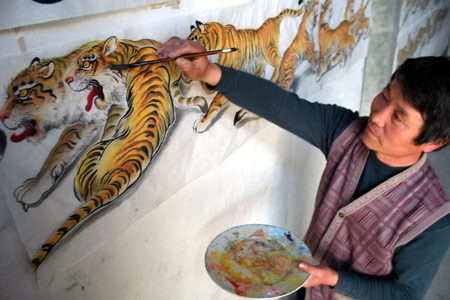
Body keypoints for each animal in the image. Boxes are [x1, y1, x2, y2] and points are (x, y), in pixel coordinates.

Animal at [186, 2, 306, 131]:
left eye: (193, 41)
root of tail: (273, 18)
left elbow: (215, 103)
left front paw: (202, 123)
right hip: (261, 63)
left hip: (269, 51)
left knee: (280, 62)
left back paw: (277, 81)